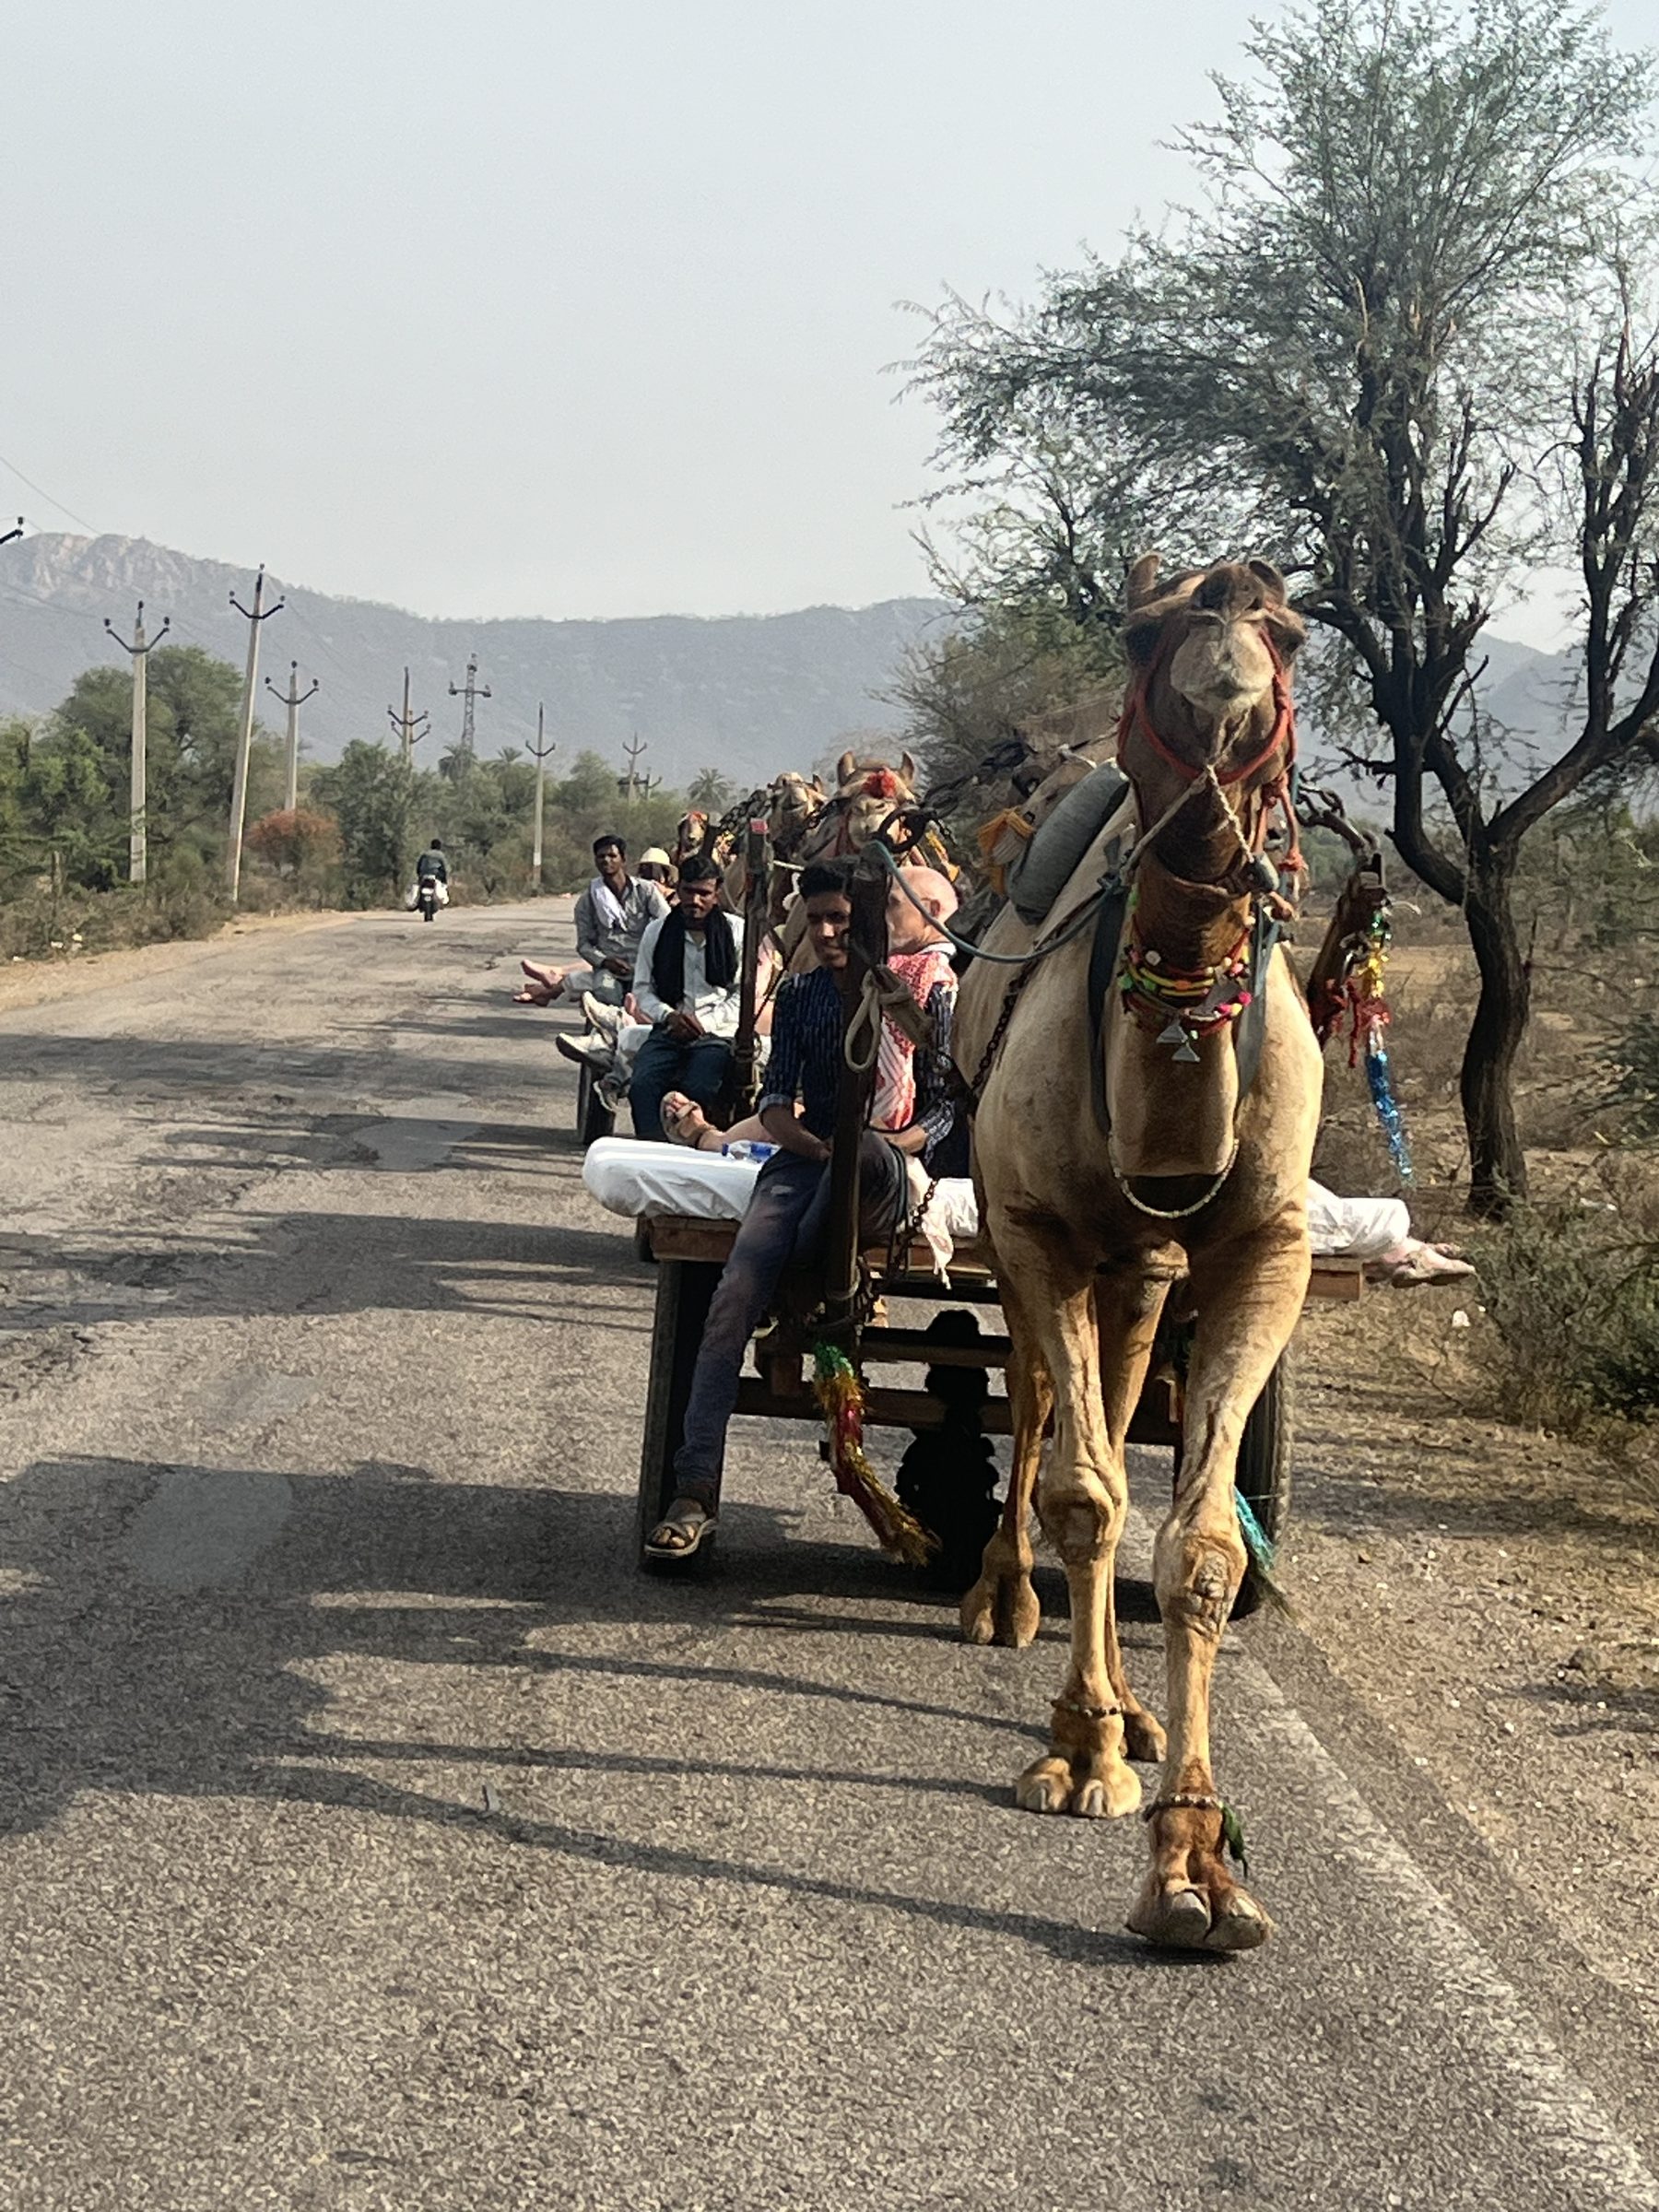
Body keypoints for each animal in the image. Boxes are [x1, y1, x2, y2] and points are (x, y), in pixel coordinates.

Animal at [951, 555, 1322, 1953]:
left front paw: (1197, 1864)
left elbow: (1205, 1544)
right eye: (1140, 628)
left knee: (1113, 1388)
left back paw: (1137, 1706)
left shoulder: (1268, 1250)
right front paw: (1081, 1750)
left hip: (1147, 1268)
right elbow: (1086, 1495)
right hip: (1026, 1236)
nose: (1222, 695)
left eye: (1290, 631)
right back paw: (1009, 1605)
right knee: (1042, 1409)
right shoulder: (1039, 1229)